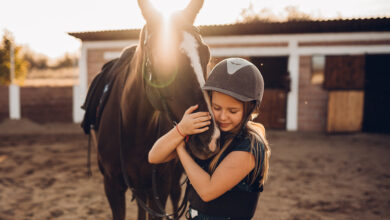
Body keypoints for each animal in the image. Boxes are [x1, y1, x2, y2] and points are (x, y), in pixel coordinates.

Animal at [89, 0, 222, 219]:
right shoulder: (112, 185)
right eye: (162, 56)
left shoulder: (160, 186)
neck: (134, 128)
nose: (209, 140)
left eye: (207, 53)